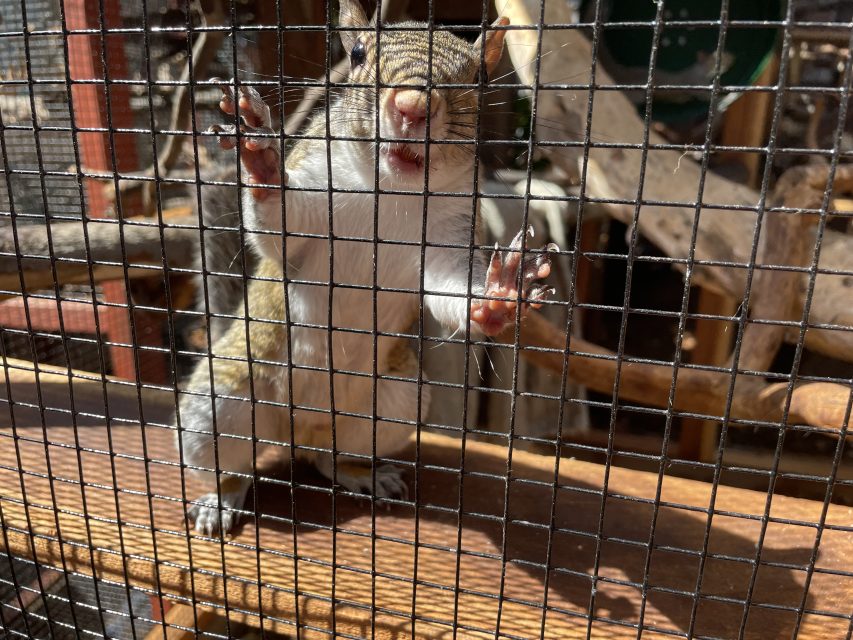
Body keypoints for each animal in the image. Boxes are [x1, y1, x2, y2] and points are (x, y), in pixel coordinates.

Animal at [176, 0, 558, 536]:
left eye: (479, 77)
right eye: (356, 54)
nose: (413, 106)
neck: (389, 188)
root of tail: (298, 429)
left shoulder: (450, 232)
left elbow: (448, 288)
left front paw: (498, 297)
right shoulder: (314, 197)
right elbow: (282, 226)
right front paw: (262, 160)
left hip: (396, 402)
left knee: (328, 456)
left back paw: (362, 473)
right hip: (218, 402)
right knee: (231, 463)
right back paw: (220, 499)